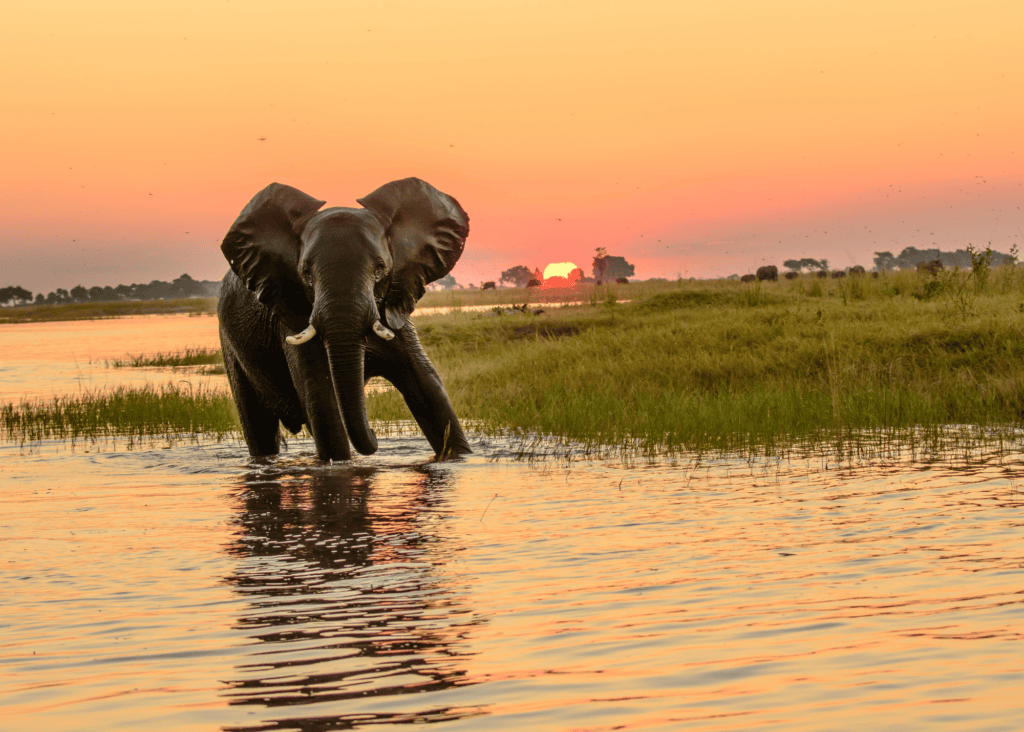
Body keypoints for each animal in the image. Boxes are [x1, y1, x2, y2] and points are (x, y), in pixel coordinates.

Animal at [217, 177, 472, 462]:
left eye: (380, 268)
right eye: (306, 274)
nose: (374, 433)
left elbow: (429, 389)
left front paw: (459, 458)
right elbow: (323, 403)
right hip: (230, 345)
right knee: (258, 427)